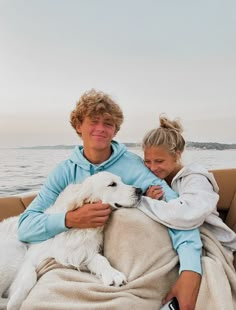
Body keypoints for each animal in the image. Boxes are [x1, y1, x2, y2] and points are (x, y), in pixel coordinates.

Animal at [0, 172, 142, 310]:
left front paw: (112, 273)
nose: (139, 191)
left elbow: (99, 259)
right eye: (112, 184)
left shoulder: (79, 252)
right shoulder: (30, 258)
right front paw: (15, 303)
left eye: (122, 181)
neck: (78, 230)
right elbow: (30, 276)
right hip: (15, 251)